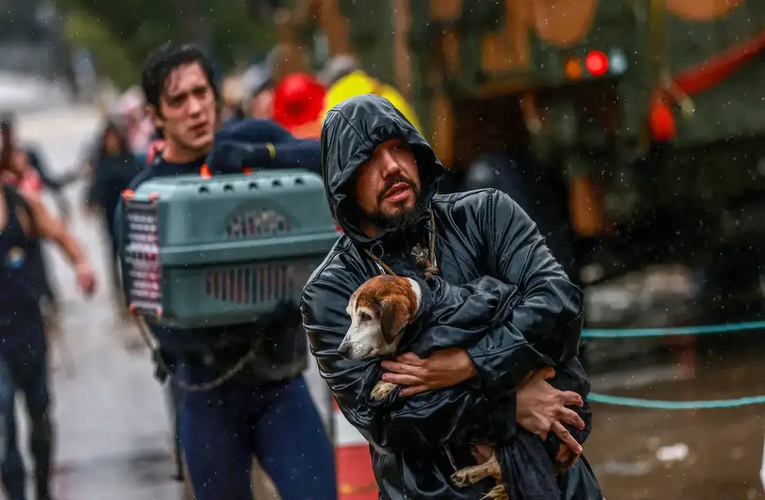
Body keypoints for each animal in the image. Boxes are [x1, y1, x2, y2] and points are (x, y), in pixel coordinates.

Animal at [340, 276, 508, 498]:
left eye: (366, 316)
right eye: (351, 316)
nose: (341, 350)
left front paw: (386, 384)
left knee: (498, 465)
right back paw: (468, 474)